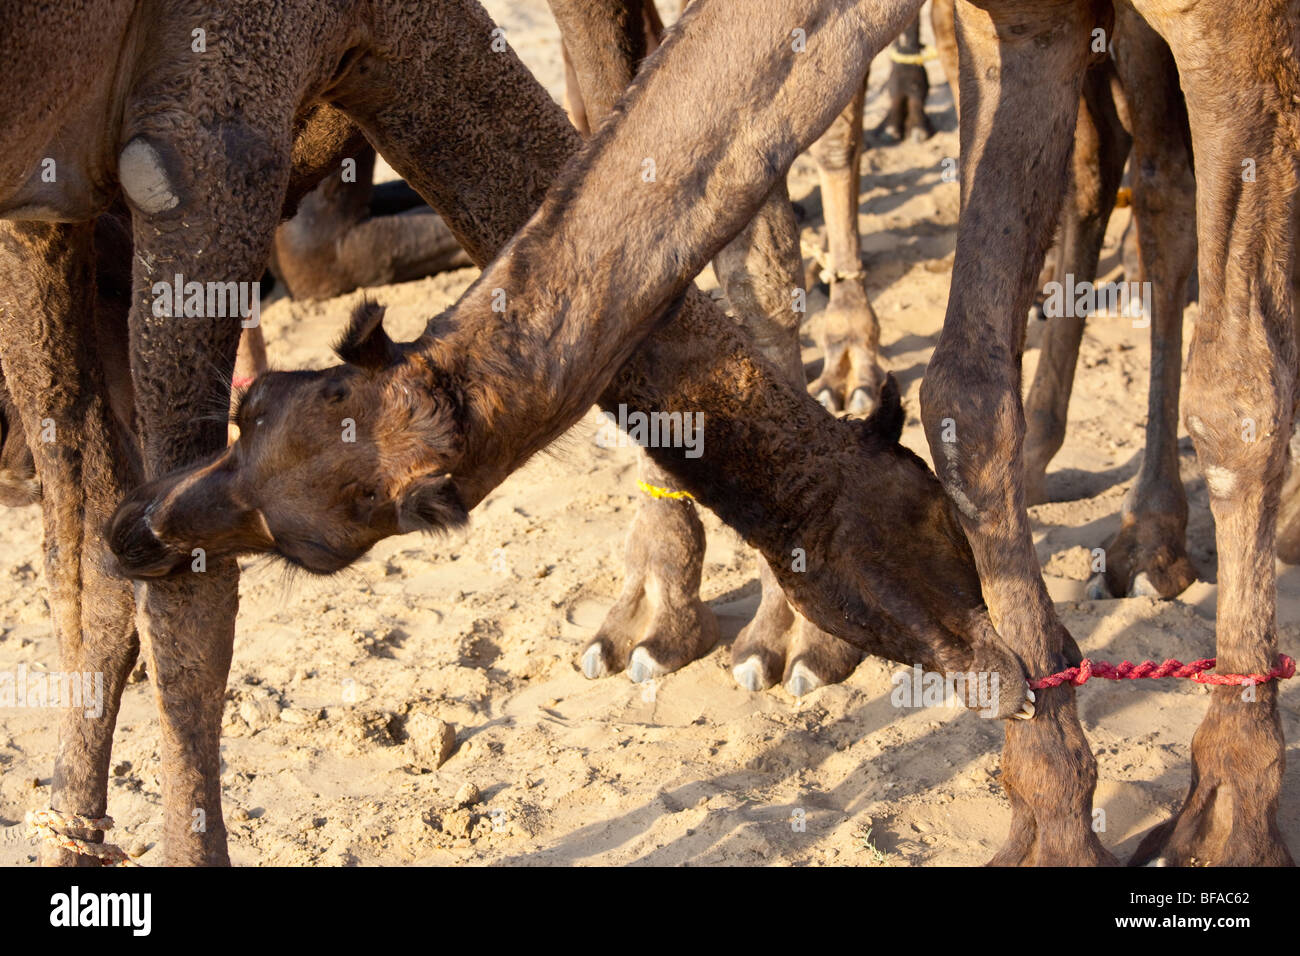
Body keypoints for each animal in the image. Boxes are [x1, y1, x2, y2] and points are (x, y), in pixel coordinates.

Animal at [114, 0, 1300, 868]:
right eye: (251, 411)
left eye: (321, 550)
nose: (140, 528)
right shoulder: (1026, 21)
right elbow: (966, 398)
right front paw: (1050, 817)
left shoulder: (1225, 17)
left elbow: (1240, 383)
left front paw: (1228, 820)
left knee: (1167, 197)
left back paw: (1154, 542)